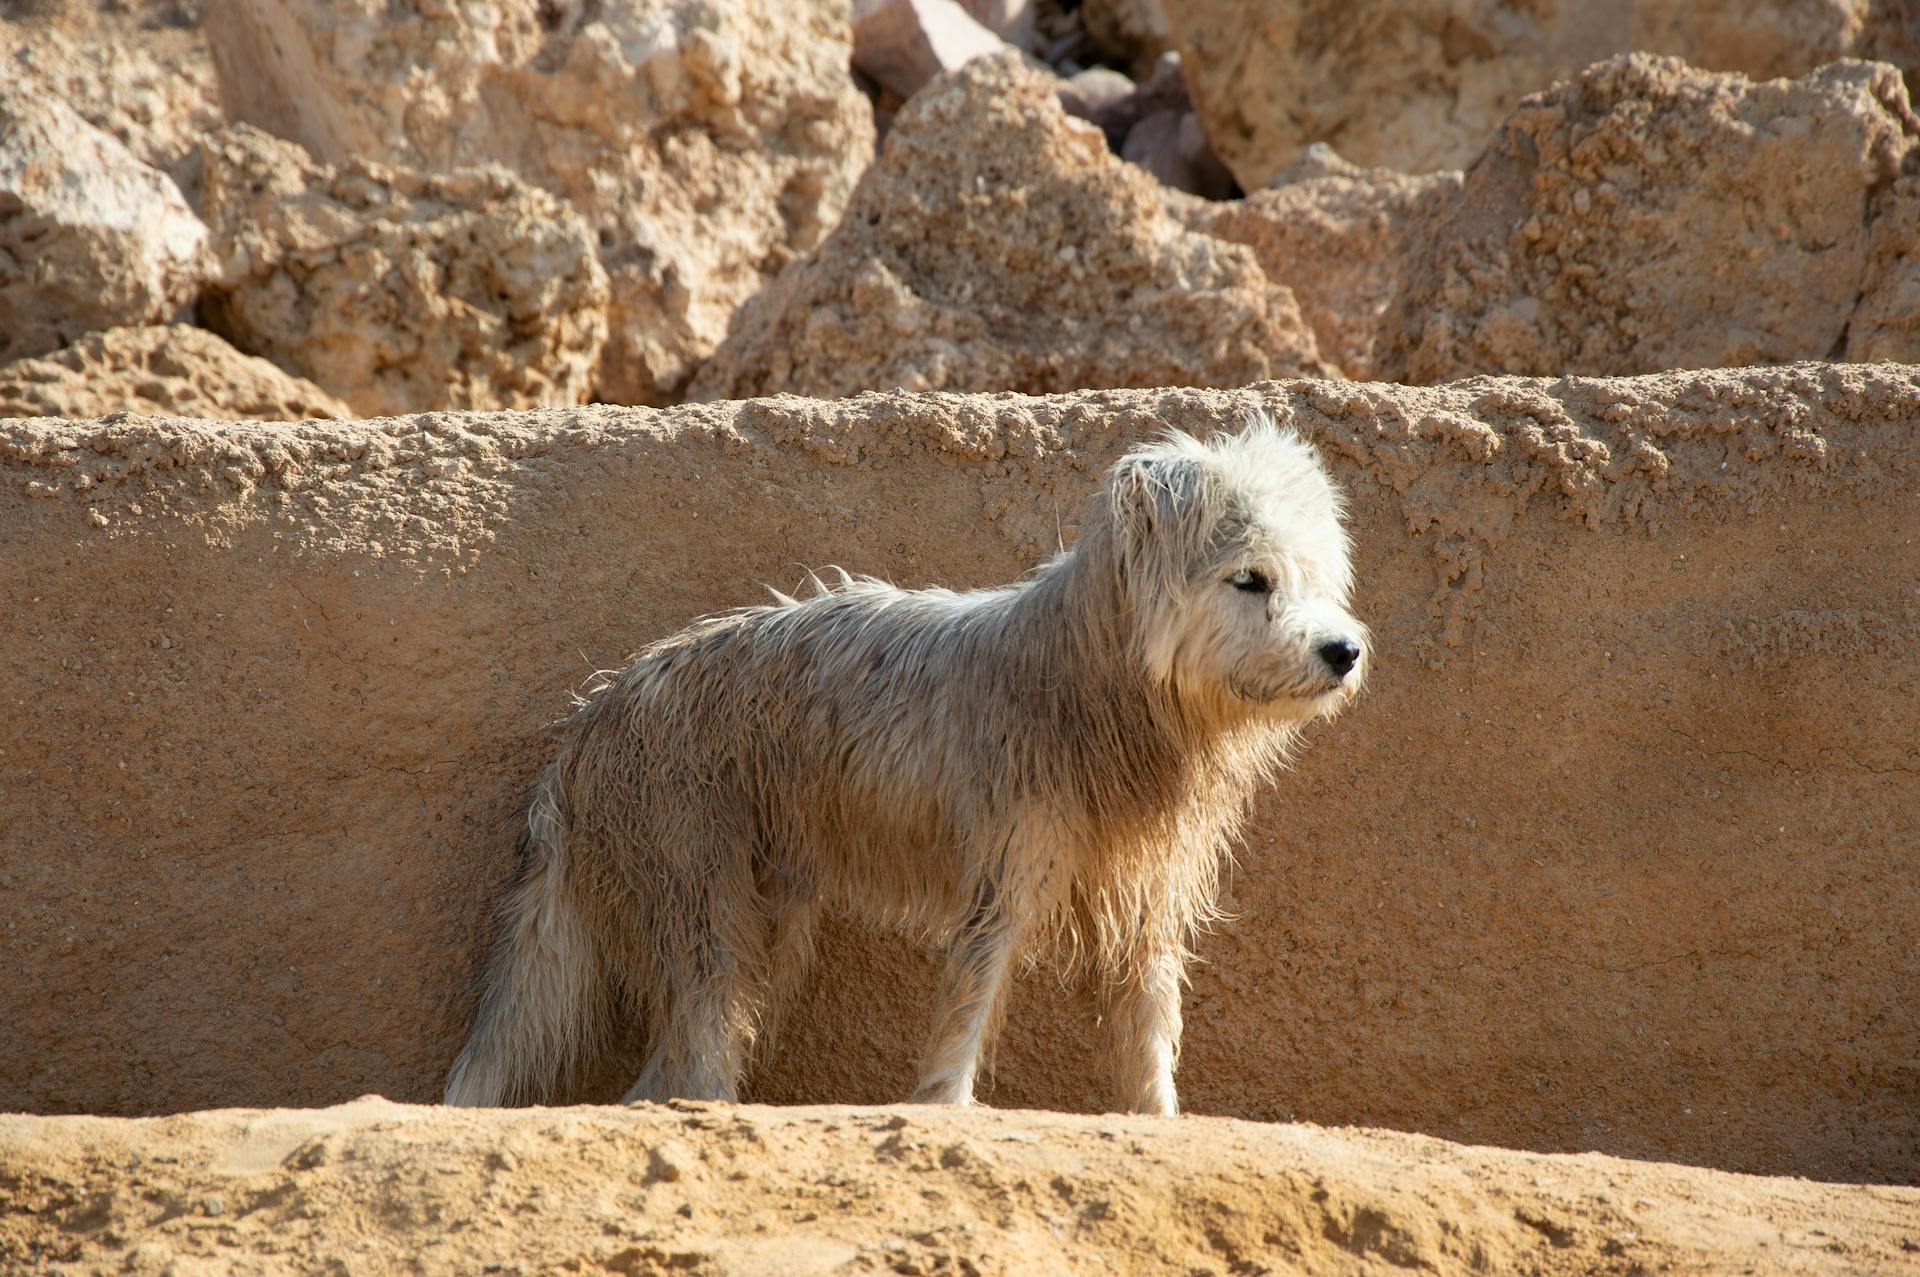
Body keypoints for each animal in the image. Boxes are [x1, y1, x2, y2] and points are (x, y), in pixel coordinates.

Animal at [441, 412, 1374, 1113]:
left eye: (1317, 575)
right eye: (1250, 578)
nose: (1345, 651)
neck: (1088, 688)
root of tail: (591, 715)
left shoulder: (1146, 898)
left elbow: (1147, 1033)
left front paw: (1160, 1121)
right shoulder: (1002, 883)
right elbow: (968, 1012)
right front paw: (946, 1108)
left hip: (762, 930)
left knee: (659, 1075)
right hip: (708, 918)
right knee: (684, 1063)